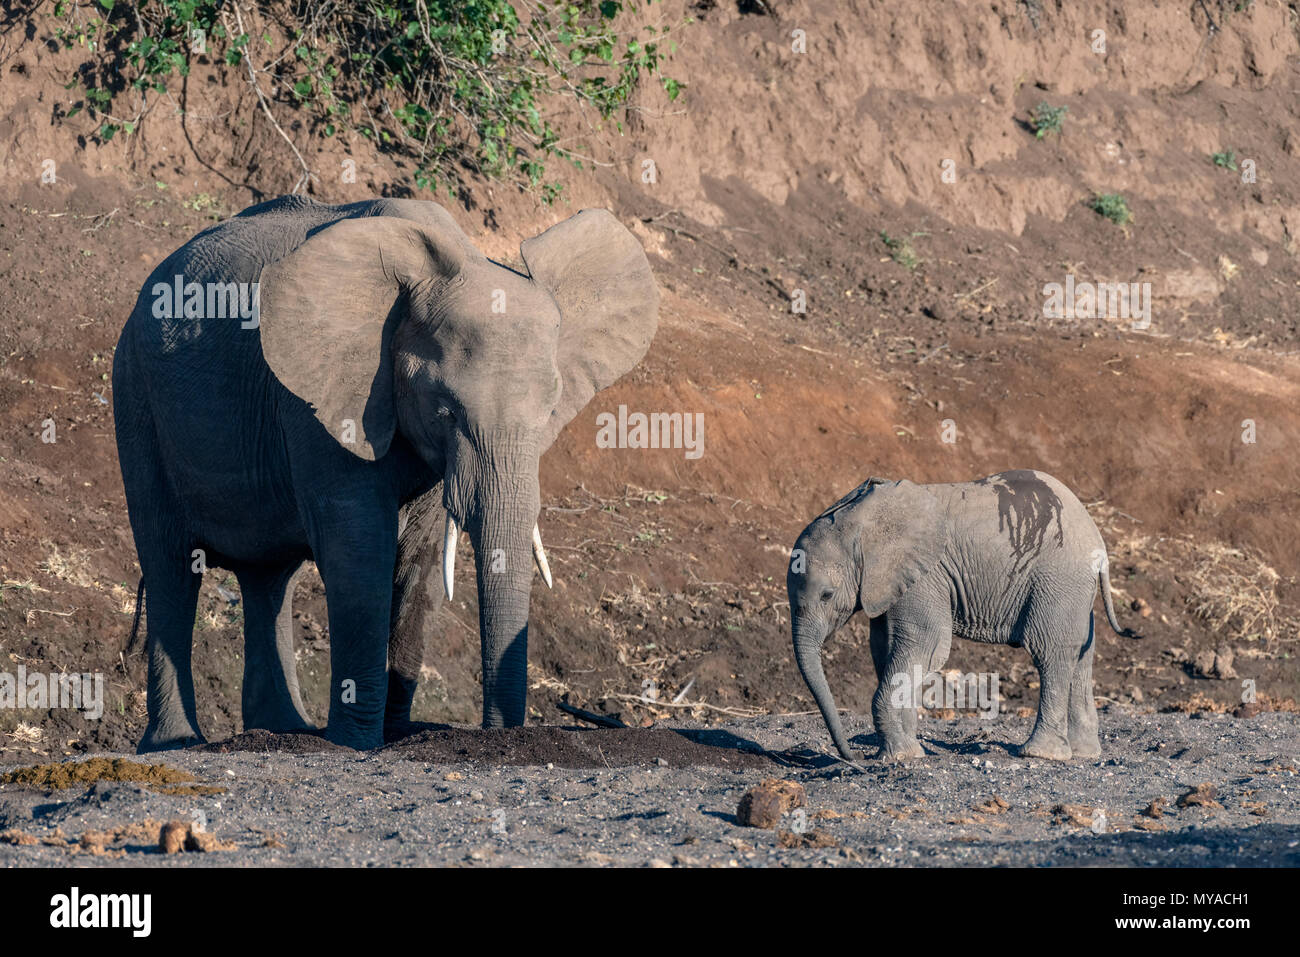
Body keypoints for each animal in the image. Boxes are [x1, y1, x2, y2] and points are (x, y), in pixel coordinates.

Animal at [114, 195, 660, 748]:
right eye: (446, 411)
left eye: (550, 411)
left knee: (268, 579)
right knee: (171, 567)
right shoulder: (319, 400)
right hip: (134, 397)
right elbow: (359, 551)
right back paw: (177, 743)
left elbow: (421, 557)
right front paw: (354, 742)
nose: (500, 735)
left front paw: (396, 737)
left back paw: (282, 728)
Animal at [780, 470, 1138, 764]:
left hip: (1059, 581)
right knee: (1082, 656)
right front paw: (908, 751)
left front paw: (898, 757)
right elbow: (885, 650)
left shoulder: (925, 576)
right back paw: (1083, 753)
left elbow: (925, 646)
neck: (860, 519)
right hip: (1074, 591)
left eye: (826, 595)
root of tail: (1097, 539)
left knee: (1050, 653)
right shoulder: (887, 584)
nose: (853, 758)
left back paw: (1040, 754)